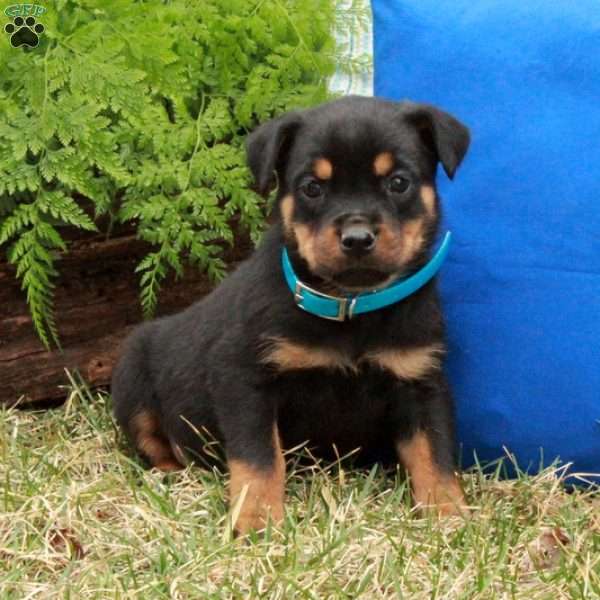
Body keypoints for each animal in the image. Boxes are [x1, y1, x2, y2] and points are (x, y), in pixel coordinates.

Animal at [111, 95, 468, 536]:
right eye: (312, 188)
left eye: (398, 182)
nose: (357, 238)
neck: (351, 307)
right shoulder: (243, 376)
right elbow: (260, 457)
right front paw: (258, 519)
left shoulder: (421, 378)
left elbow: (434, 452)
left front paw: (448, 513)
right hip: (132, 379)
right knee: (153, 441)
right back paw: (173, 474)